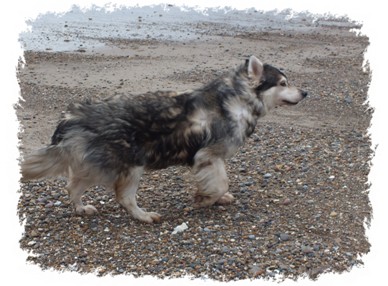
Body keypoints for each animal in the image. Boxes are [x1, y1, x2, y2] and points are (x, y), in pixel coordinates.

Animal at [21, 55, 308, 223]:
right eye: (283, 83)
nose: (305, 92)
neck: (238, 98)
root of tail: (74, 116)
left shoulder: (212, 158)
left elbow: (220, 182)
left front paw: (216, 198)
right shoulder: (208, 155)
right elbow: (220, 183)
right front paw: (206, 199)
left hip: (101, 165)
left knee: (73, 186)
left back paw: (81, 209)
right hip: (131, 164)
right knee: (122, 197)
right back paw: (143, 216)